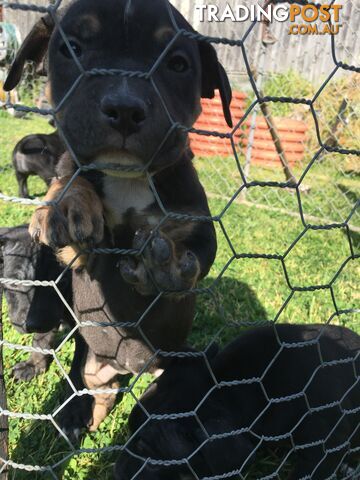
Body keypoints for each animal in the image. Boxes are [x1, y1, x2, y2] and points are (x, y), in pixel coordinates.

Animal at [3, 0, 228, 434]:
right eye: (71, 49)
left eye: (177, 64)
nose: (125, 106)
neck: (128, 178)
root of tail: (132, 367)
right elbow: (69, 177)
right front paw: (67, 204)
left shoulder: (196, 222)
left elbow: (192, 250)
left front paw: (166, 264)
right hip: (96, 365)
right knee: (97, 391)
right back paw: (81, 420)